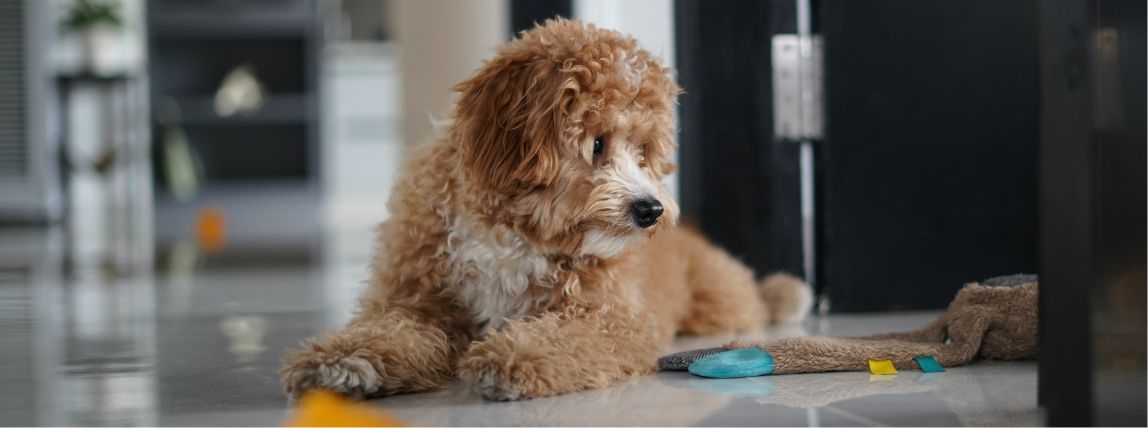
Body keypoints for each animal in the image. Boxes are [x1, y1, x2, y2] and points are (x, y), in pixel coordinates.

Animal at [281, 19, 812, 399]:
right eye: (597, 143)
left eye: (643, 152)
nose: (651, 210)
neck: (511, 230)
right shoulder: (413, 301)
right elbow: (390, 330)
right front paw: (343, 361)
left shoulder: (609, 316)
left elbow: (562, 337)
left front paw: (512, 357)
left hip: (719, 296)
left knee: (748, 300)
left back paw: (783, 294)